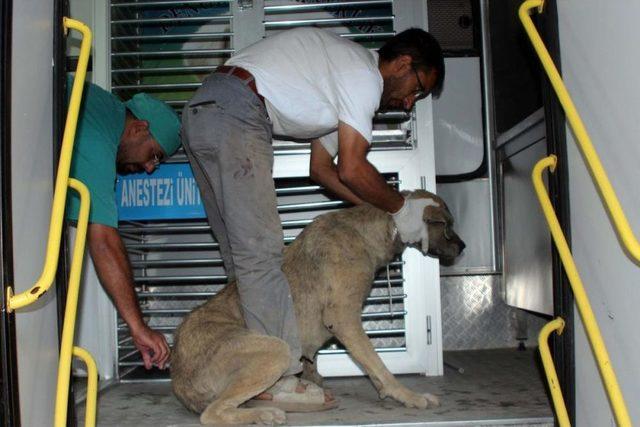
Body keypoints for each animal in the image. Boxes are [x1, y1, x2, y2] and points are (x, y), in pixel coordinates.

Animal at [171, 191, 464, 424]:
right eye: (446, 225)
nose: (463, 247)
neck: (375, 229)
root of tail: (178, 379)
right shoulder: (344, 319)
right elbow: (378, 364)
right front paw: (408, 396)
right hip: (276, 350)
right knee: (211, 413)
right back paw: (264, 414)